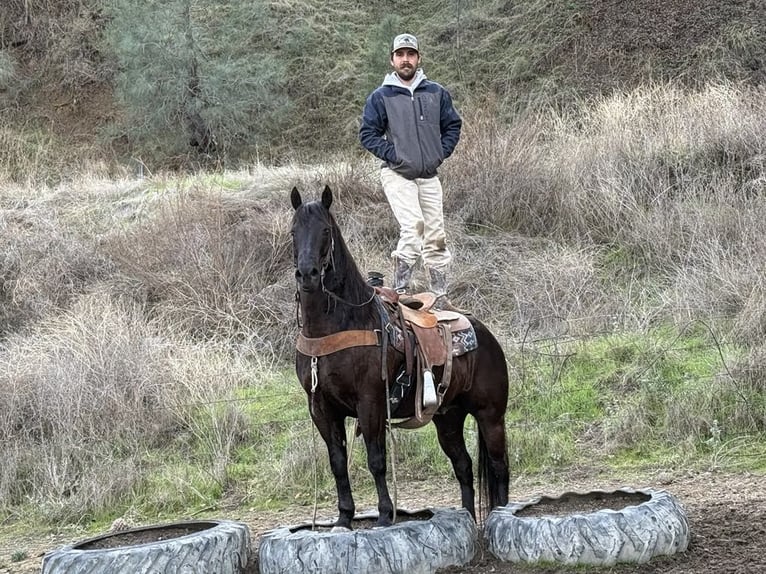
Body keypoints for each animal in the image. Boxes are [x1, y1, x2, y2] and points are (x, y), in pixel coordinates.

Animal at [290, 187, 510, 528]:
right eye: (293, 231)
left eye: (325, 230)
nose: (308, 274)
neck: (341, 321)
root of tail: (486, 334)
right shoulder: (322, 409)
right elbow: (338, 462)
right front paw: (344, 517)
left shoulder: (370, 403)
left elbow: (376, 459)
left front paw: (383, 515)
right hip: (448, 418)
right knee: (463, 467)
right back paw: (468, 520)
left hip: (491, 415)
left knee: (499, 467)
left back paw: (501, 516)